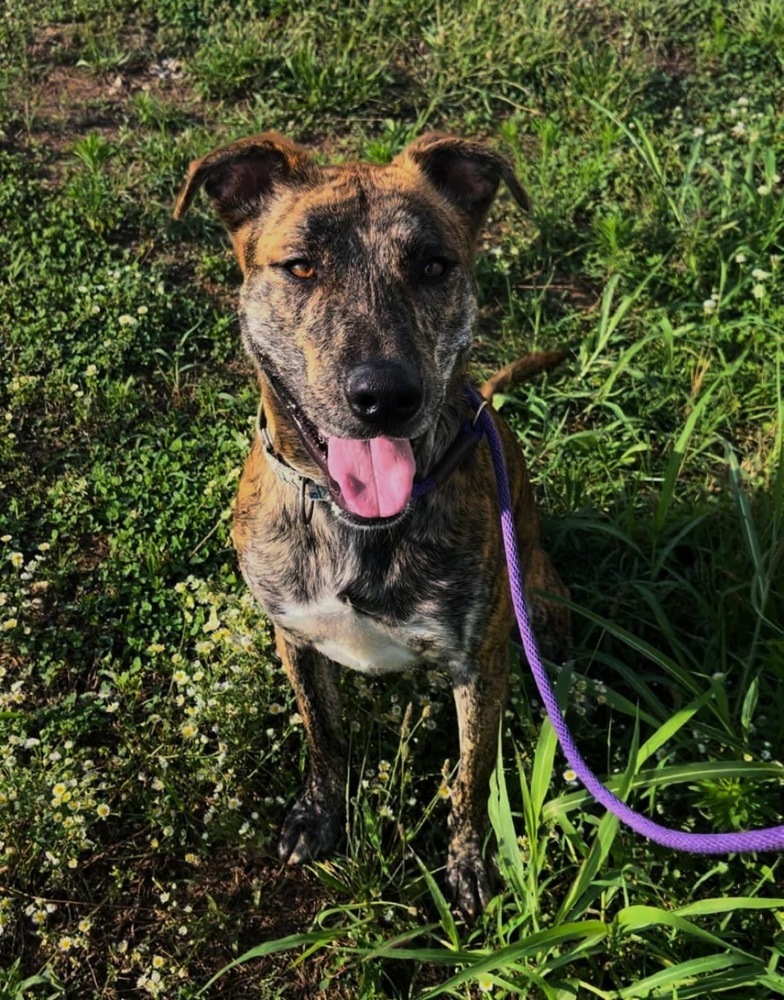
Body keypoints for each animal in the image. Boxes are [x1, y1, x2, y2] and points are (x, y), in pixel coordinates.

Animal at [173, 135, 568, 920]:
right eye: (300, 266)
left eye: (433, 266)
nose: (385, 395)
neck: (350, 523)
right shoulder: (293, 636)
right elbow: (322, 734)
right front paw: (318, 814)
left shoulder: (482, 663)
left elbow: (470, 776)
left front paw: (468, 864)